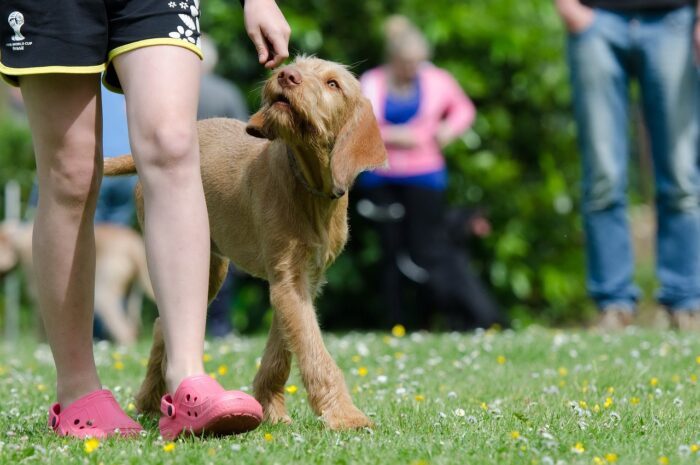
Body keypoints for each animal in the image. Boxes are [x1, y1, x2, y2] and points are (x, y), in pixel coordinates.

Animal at [0, 221, 153, 344]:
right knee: (132, 326)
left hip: (104, 293)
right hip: (133, 294)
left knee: (124, 330)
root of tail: (133, 244)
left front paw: (40, 344)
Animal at [102, 56, 388, 430]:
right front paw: (344, 414)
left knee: (164, 324)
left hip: (210, 267)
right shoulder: (288, 280)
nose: (286, 75)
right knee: (163, 323)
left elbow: (282, 350)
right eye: (297, 65)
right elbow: (314, 350)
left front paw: (271, 408)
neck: (309, 186)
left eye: (333, 84)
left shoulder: (301, 282)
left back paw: (151, 400)